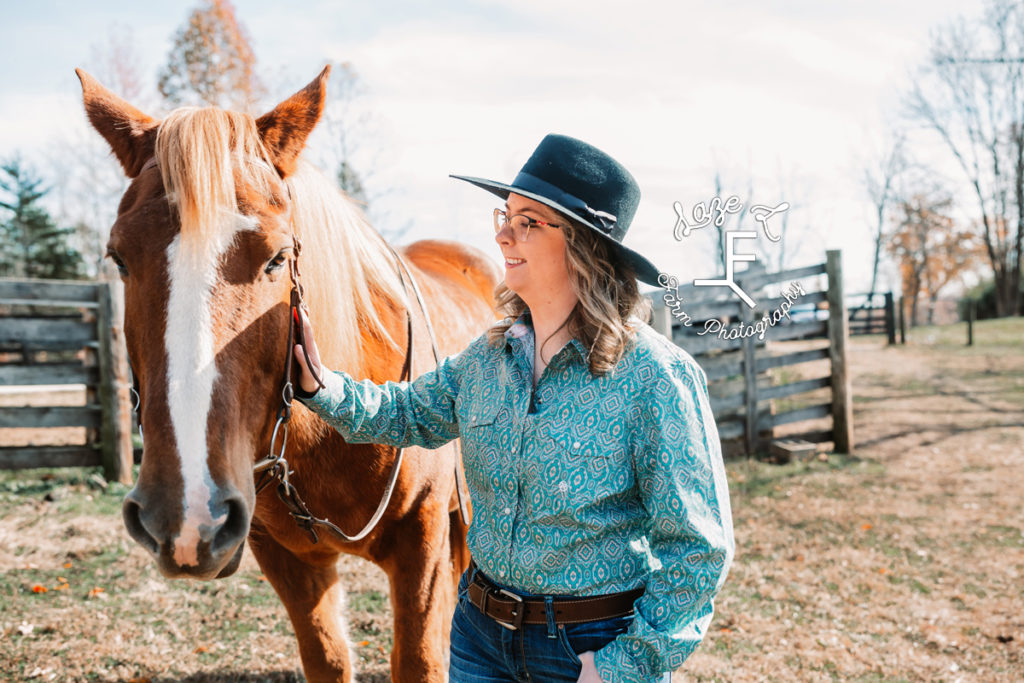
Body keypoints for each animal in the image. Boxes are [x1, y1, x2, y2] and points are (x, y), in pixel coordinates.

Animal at [75, 65, 499, 683]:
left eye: (277, 258)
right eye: (119, 258)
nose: (184, 515)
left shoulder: (423, 546)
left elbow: (420, 658)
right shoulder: (284, 558)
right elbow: (327, 657)